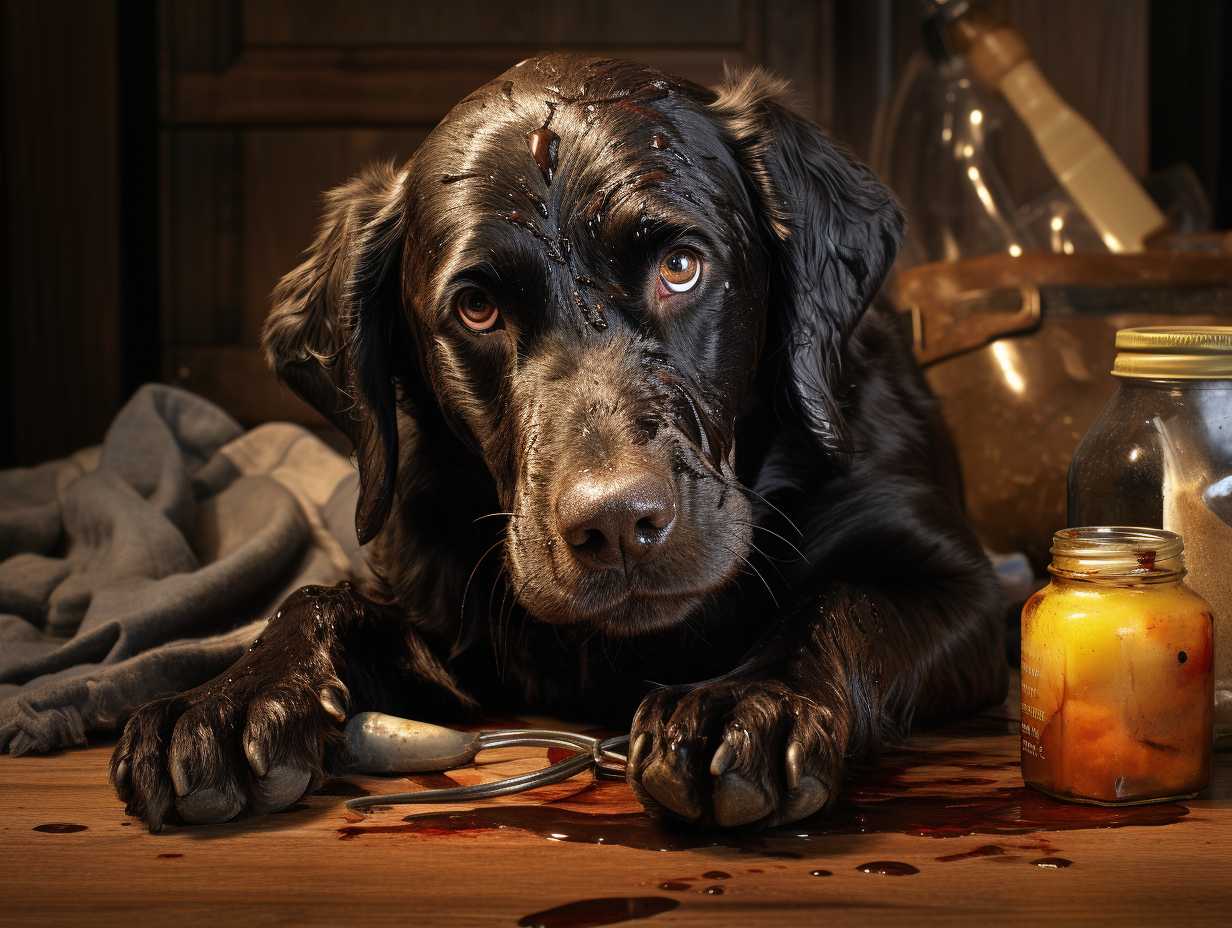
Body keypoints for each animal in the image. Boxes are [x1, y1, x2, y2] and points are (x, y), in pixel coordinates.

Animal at [110, 54, 1005, 828]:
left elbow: (839, 604)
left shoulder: (961, 586)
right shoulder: (444, 619)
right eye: (477, 310)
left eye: (681, 267)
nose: (615, 525)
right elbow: (315, 600)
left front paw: (751, 703)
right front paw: (225, 701)